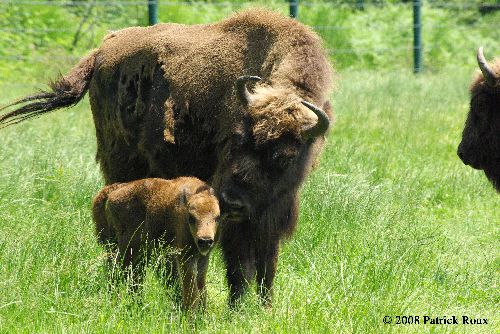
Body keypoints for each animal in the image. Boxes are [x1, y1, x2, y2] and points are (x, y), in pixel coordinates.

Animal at [92, 176, 221, 310]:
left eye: (217, 217)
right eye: (191, 217)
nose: (205, 240)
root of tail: (113, 191)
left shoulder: (202, 259)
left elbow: (201, 288)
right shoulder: (185, 257)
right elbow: (191, 289)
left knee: (132, 277)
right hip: (128, 248)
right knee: (118, 272)